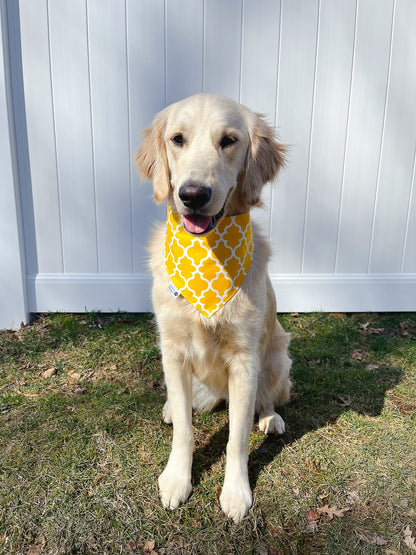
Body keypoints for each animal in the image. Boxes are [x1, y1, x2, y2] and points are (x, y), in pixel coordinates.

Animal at [135, 93, 290, 524]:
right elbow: (185, 432)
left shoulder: (245, 359)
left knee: (267, 398)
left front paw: (236, 492)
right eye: (178, 139)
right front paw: (176, 479)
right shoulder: (172, 350)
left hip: (278, 355)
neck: (209, 255)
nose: (192, 194)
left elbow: (236, 437)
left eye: (229, 141)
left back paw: (270, 417)